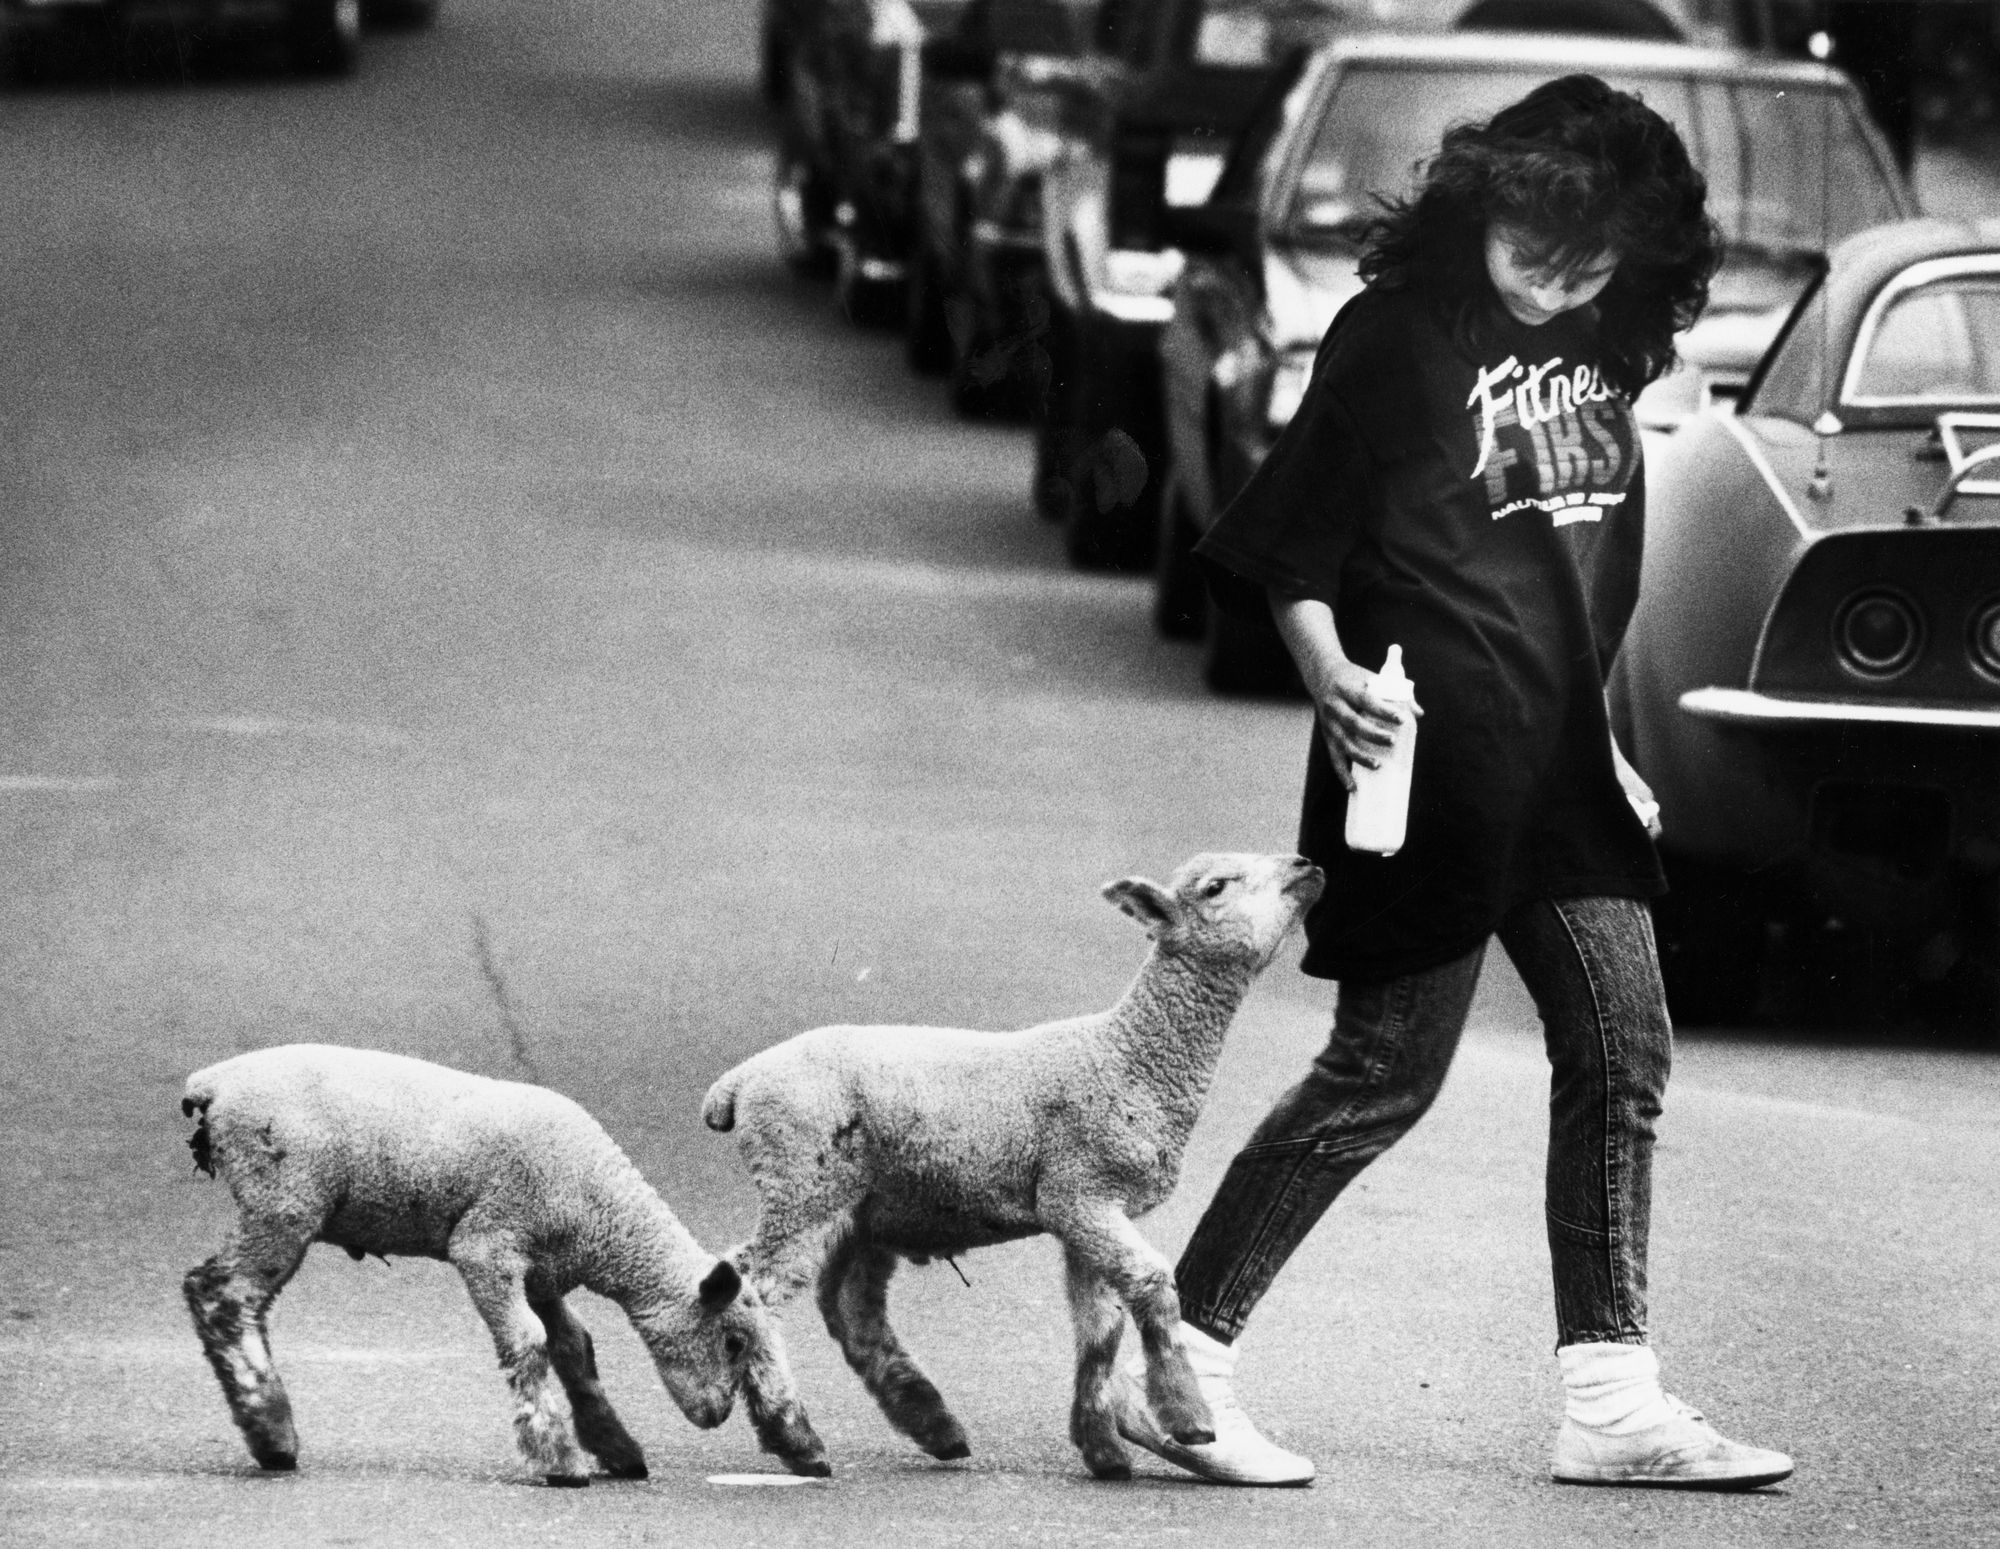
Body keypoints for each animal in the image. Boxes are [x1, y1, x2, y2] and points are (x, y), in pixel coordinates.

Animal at [179, 1044, 829, 1485]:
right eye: (732, 1342)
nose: (717, 1415)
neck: (603, 1215)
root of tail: (213, 1084)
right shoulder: (487, 1247)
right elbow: (528, 1343)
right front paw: (560, 1459)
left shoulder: (544, 1274)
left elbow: (574, 1348)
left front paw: (616, 1447)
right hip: (284, 1199)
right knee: (223, 1294)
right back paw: (272, 1431)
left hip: (280, 1205)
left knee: (220, 1292)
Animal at [702, 851, 1325, 1480]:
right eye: (1216, 887)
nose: (1306, 863)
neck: (1128, 1056)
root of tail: (736, 1084)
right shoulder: (1079, 1190)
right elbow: (1152, 1283)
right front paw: (1187, 1419)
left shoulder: (1089, 1209)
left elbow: (1101, 1329)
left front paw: (1104, 1449)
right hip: (804, 1179)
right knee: (755, 1292)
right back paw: (796, 1440)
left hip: (864, 1205)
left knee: (850, 1306)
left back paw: (934, 1427)